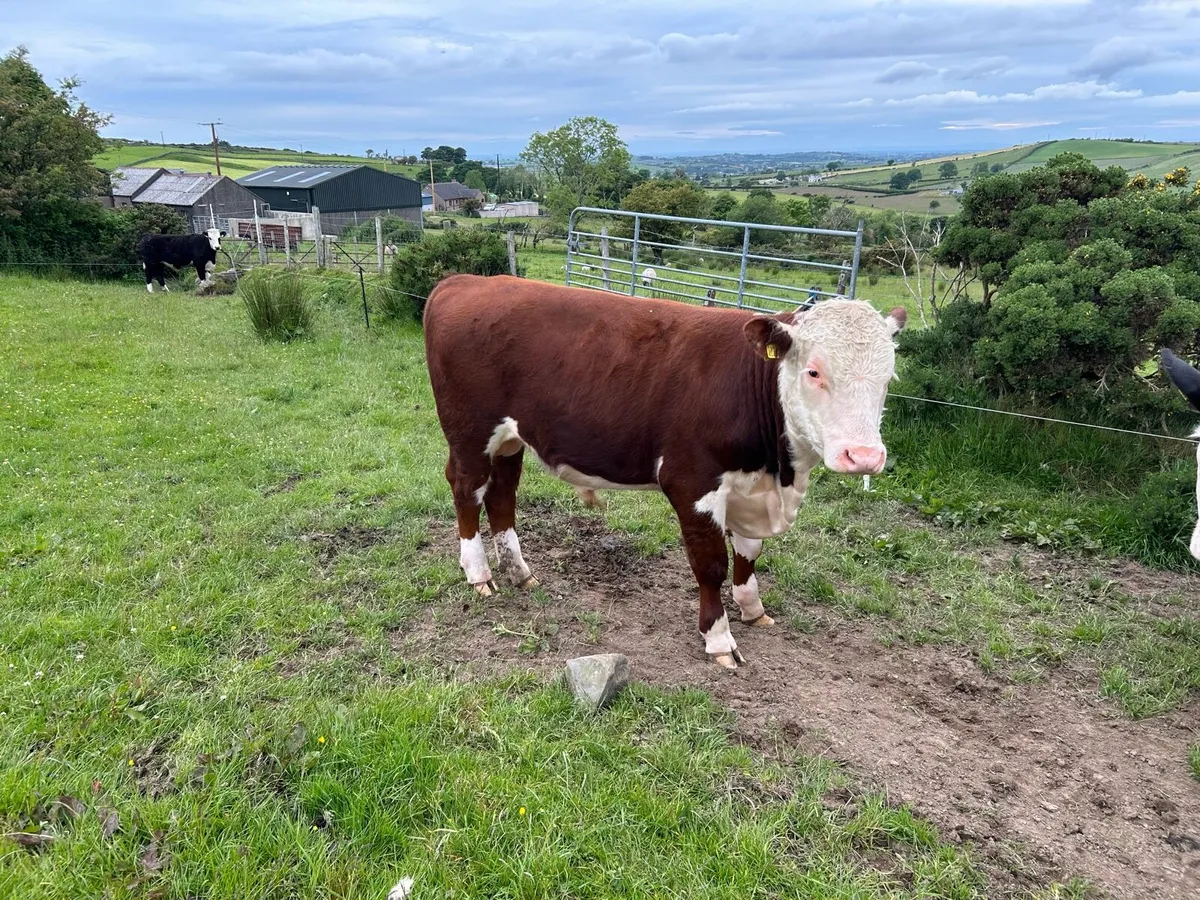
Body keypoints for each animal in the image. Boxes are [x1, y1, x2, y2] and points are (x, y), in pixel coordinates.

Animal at [423, 274, 906, 669]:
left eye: (888, 379)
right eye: (814, 371)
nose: (864, 456)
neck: (778, 474)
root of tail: (465, 282)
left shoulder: (749, 487)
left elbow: (749, 552)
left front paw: (752, 608)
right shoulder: (692, 481)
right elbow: (710, 564)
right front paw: (719, 639)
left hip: (509, 439)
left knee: (502, 494)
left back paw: (519, 571)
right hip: (470, 431)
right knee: (467, 489)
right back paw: (479, 573)